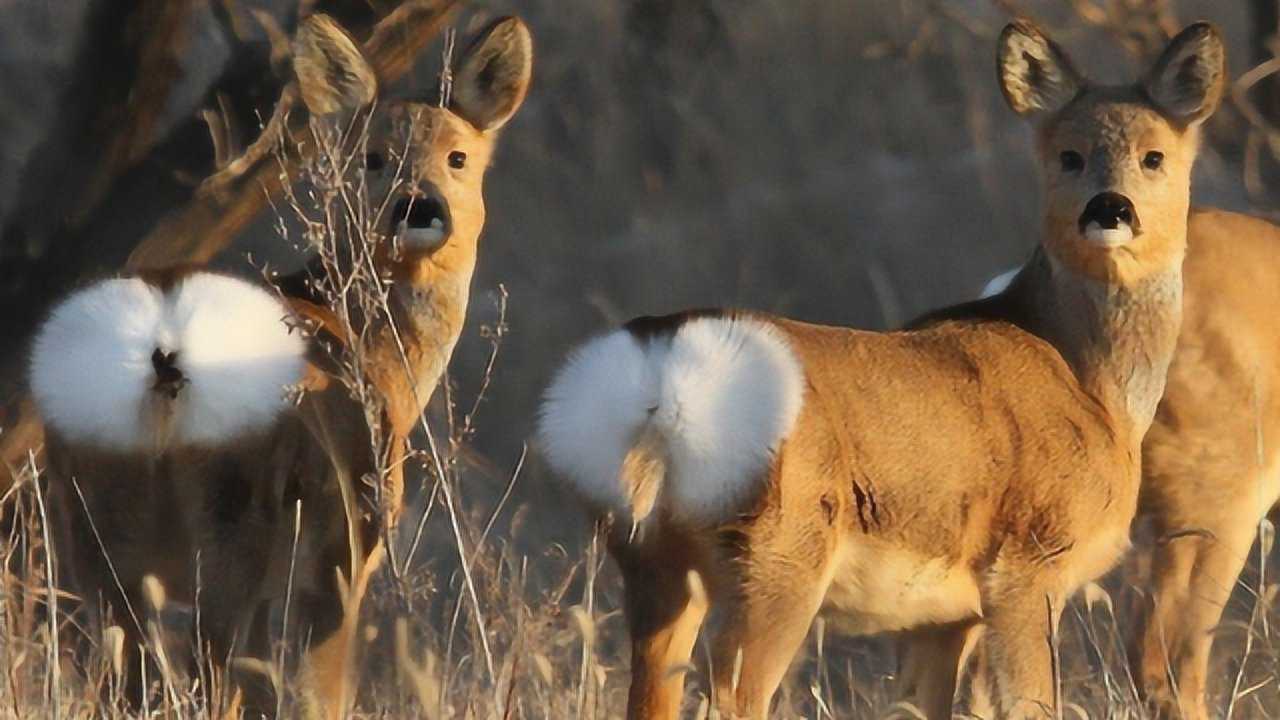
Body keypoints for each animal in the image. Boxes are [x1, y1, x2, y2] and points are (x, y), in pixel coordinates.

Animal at [30, 15, 529, 712]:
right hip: (233, 518)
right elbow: (318, 693)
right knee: (208, 671)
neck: (378, 351)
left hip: (91, 530)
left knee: (123, 676)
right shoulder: (344, 548)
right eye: (371, 157)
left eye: (458, 157)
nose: (419, 206)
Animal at [535, 19, 1223, 712]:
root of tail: (658, 367)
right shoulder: (1028, 563)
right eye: (1068, 155)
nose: (1110, 208)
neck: (1090, 383)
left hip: (651, 558)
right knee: (733, 695)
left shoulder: (942, 617)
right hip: (779, 551)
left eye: (1154, 156)